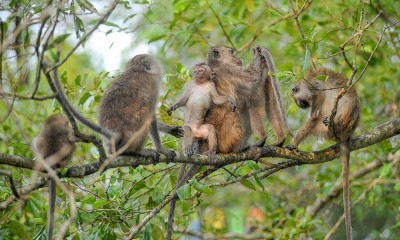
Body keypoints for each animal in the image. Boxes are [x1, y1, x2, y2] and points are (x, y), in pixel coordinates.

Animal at [286, 68, 360, 239]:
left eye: (303, 104)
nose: (305, 106)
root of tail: (347, 134)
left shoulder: (312, 85)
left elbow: (319, 92)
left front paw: (313, 111)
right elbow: (314, 117)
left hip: (347, 119)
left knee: (351, 101)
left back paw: (336, 125)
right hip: (325, 128)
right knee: (315, 123)